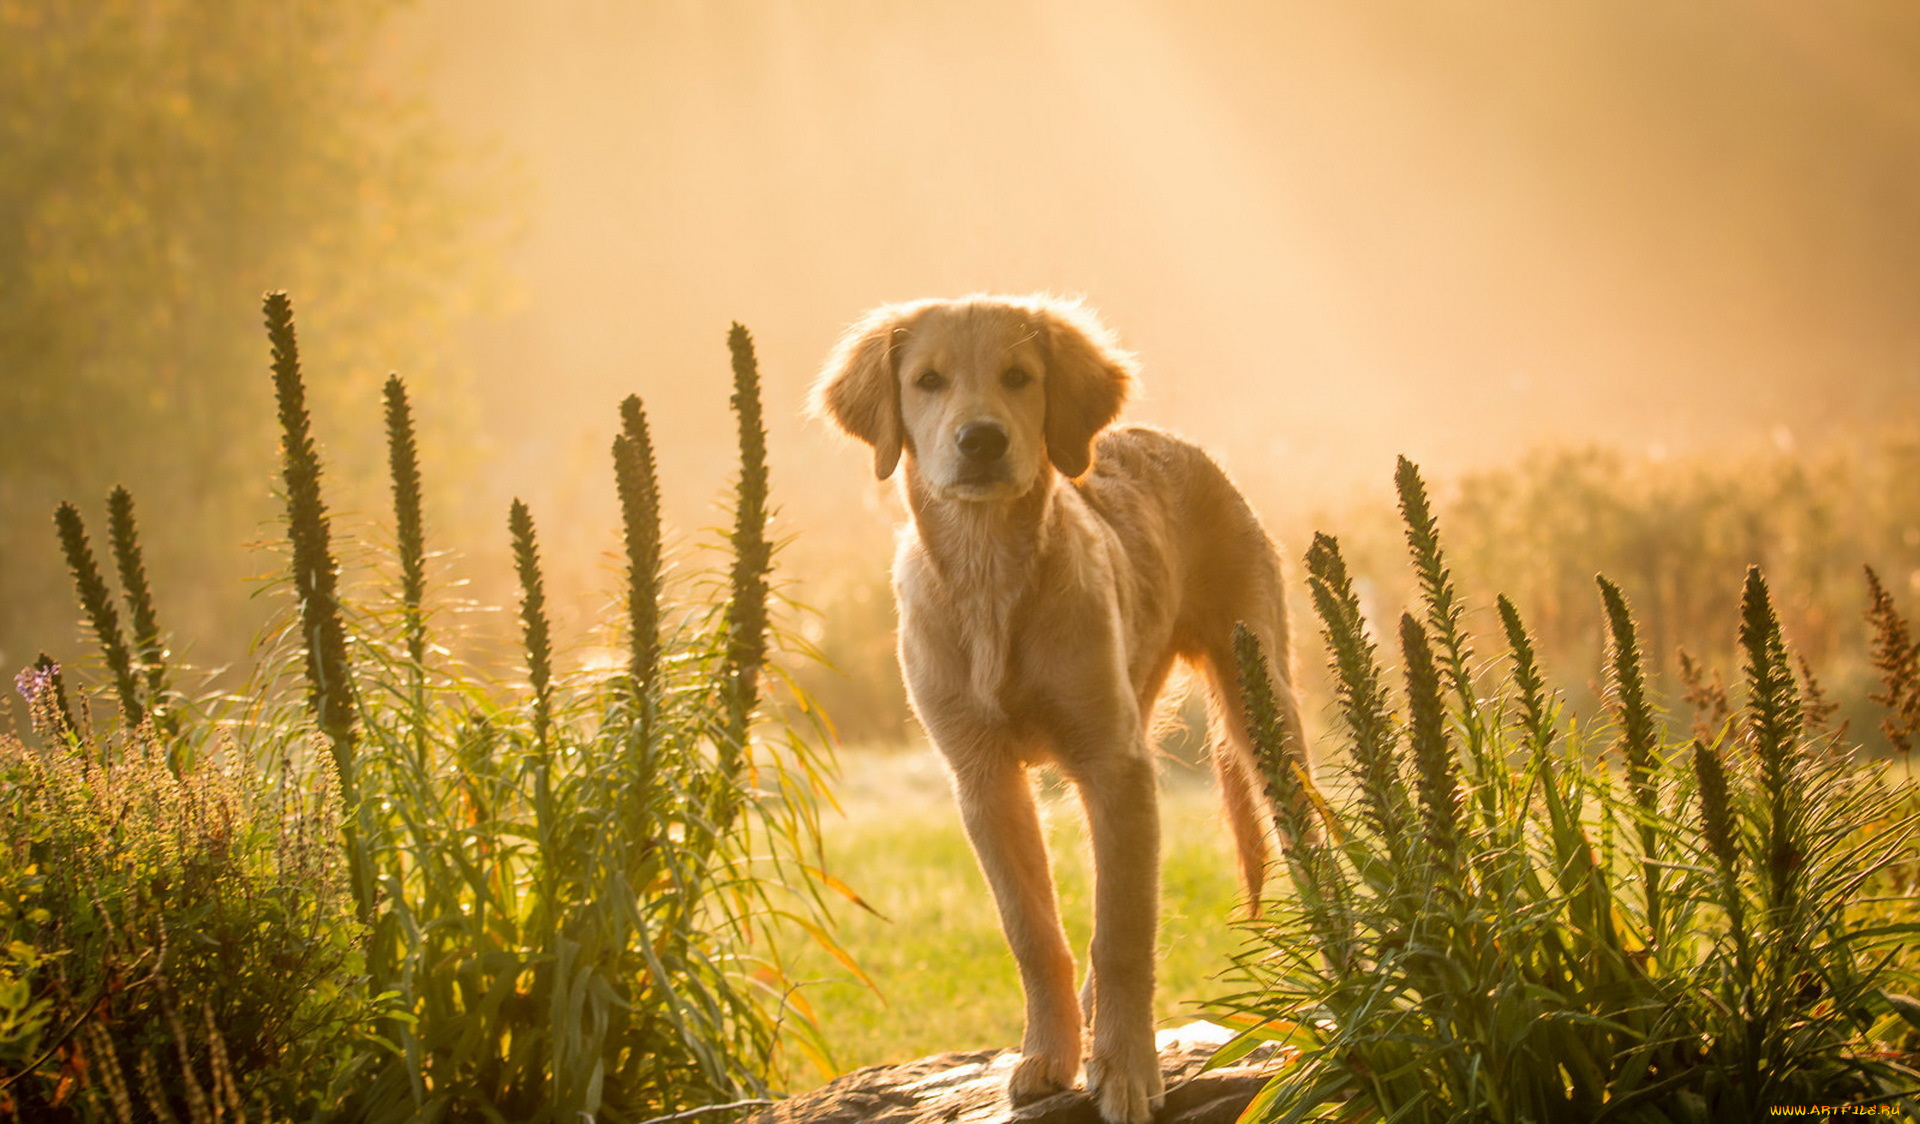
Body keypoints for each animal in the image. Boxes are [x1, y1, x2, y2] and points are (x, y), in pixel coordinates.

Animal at [810, 292, 1305, 1122]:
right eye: (928, 381)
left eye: (1018, 376)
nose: (981, 439)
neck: (990, 582)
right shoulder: (984, 779)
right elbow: (1034, 930)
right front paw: (1051, 1055)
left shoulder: (1115, 765)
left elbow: (1124, 929)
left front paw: (1128, 1068)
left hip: (1261, 707)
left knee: (1313, 847)